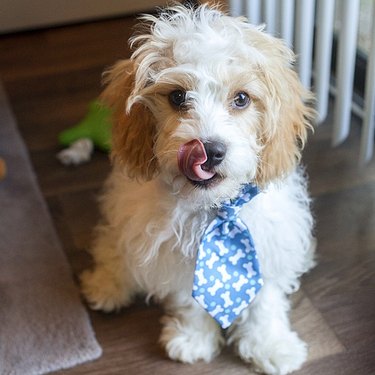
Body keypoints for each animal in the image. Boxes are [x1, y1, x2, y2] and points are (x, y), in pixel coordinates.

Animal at [81, 3, 318, 375]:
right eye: (178, 96)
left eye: (241, 98)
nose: (210, 150)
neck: (215, 209)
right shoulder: (171, 255)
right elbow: (189, 300)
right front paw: (193, 339)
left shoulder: (267, 242)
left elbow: (264, 301)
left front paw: (271, 345)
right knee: (111, 246)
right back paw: (107, 284)